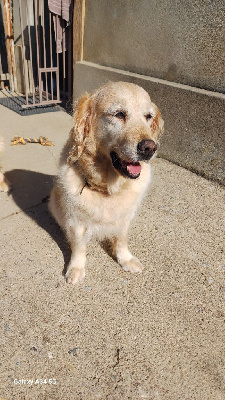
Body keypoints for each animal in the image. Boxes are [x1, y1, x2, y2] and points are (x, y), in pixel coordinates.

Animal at [48, 81, 163, 282]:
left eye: (148, 116)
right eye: (119, 114)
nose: (149, 148)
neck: (109, 187)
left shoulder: (125, 216)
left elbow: (122, 239)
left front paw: (126, 259)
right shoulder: (76, 220)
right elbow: (79, 247)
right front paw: (76, 268)